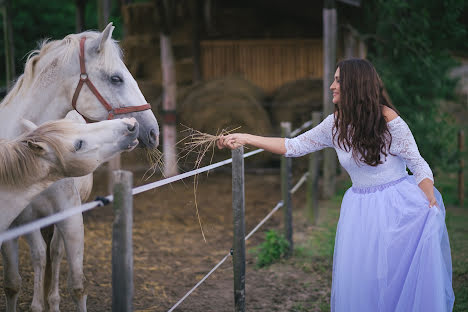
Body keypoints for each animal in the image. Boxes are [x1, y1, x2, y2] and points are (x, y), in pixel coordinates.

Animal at [0, 22, 159, 312]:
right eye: (116, 78)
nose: (153, 132)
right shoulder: (17, 221)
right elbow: (15, 281)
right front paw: (34, 302)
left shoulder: (71, 217)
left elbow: (77, 283)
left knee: (54, 253)